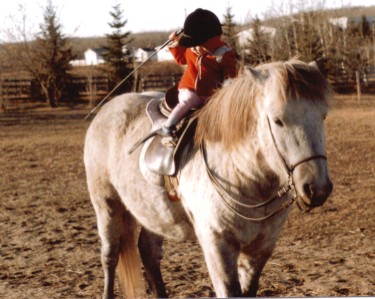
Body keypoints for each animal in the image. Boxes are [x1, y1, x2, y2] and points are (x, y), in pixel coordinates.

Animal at [85, 59, 334, 298]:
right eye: (277, 120)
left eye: (323, 116)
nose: (317, 188)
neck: (244, 176)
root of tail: (109, 108)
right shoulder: (217, 244)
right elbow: (230, 291)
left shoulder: (261, 246)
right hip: (106, 204)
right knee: (110, 255)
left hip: (153, 212)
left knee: (148, 252)